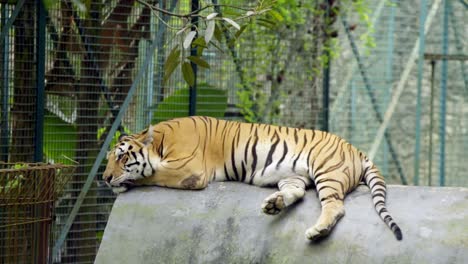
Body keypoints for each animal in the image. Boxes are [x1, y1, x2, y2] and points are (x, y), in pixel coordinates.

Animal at [102, 115, 402, 241]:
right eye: (106, 159)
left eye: (122, 157)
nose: (104, 178)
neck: (162, 141)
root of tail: (355, 148)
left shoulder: (189, 169)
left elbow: (148, 174)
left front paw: (124, 183)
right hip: (293, 176)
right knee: (297, 193)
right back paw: (274, 204)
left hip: (327, 172)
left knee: (336, 206)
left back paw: (317, 231)